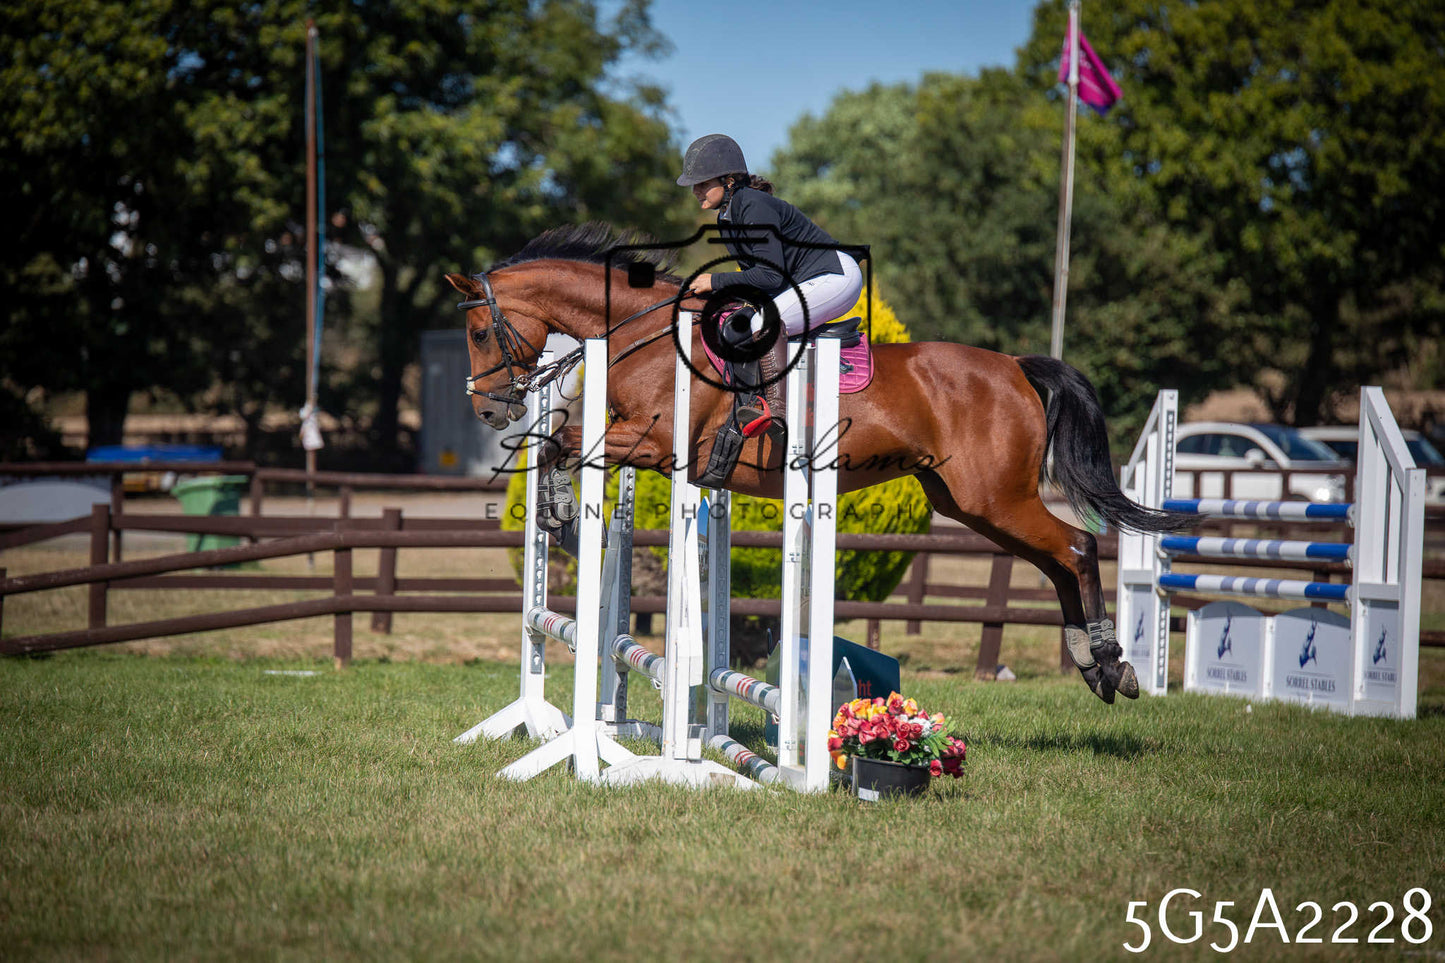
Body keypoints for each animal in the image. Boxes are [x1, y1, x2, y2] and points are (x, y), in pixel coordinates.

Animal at [445, 223, 1189, 704]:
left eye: (479, 331)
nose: (486, 410)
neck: (648, 332)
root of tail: (1012, 365)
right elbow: (557, 442)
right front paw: (554, 510)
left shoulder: (657, 445)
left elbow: (566, 444)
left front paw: (556, 509)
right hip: (966, 502)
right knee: (1057, 558)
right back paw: (1095, 666)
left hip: (995, 496)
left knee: (1076, 546)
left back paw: (1108, 663)